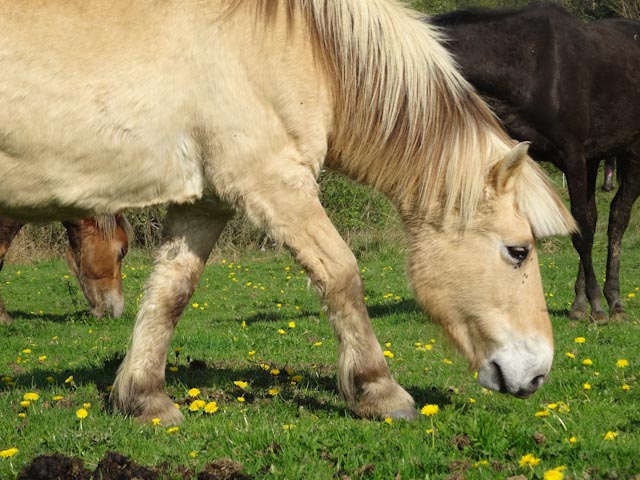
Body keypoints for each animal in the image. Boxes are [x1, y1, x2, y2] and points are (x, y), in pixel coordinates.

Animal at [432, 4, 640, 322]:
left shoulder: (573, 154)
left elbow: (581, 230)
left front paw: (595, 304)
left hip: (632, 152)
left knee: (617, 216)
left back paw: (613, 301)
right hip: (595, 157)